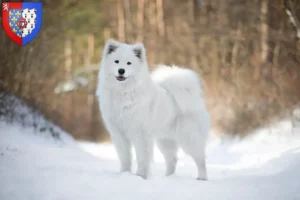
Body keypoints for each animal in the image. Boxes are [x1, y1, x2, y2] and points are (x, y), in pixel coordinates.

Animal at [97, 39, 210, 180]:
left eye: (129, 63)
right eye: (116, 61)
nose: (121, 70)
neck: (124, 92)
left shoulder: (140, 134)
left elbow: (142, 157)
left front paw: (140, 176)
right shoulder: (118, 133)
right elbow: (125, 157)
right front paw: (124, 173)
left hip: (189, 138)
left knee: (200, 158)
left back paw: (202, 178)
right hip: (165, 140)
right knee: (172, 159)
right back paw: (167, 177)